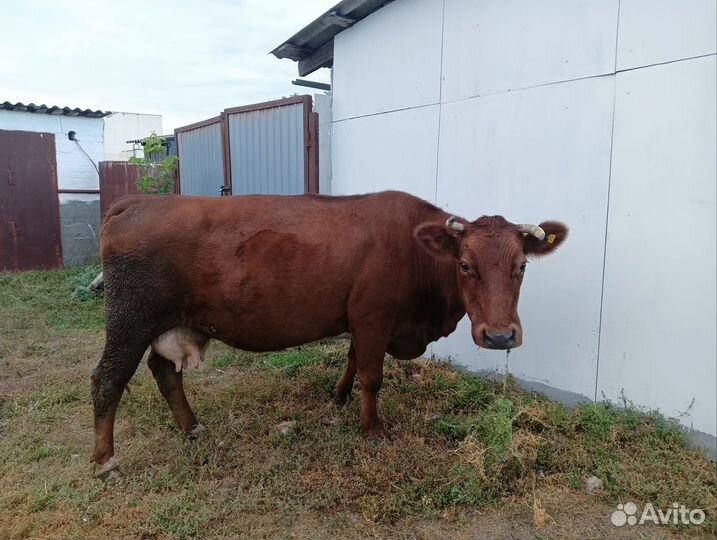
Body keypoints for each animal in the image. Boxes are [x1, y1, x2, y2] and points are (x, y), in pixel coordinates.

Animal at [91, 190, 567, 479]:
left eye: (522, 266)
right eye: (465, 265)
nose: (500, 336)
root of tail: (137, 201)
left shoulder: (359, 319)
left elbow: (353, 359)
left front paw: (339, 396)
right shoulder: (374, 317)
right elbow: (373, 376)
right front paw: (372, 428)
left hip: (171, 323)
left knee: (165, 371)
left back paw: (192, 428)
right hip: (130, 319)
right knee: (107, 379)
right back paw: (104, 460)